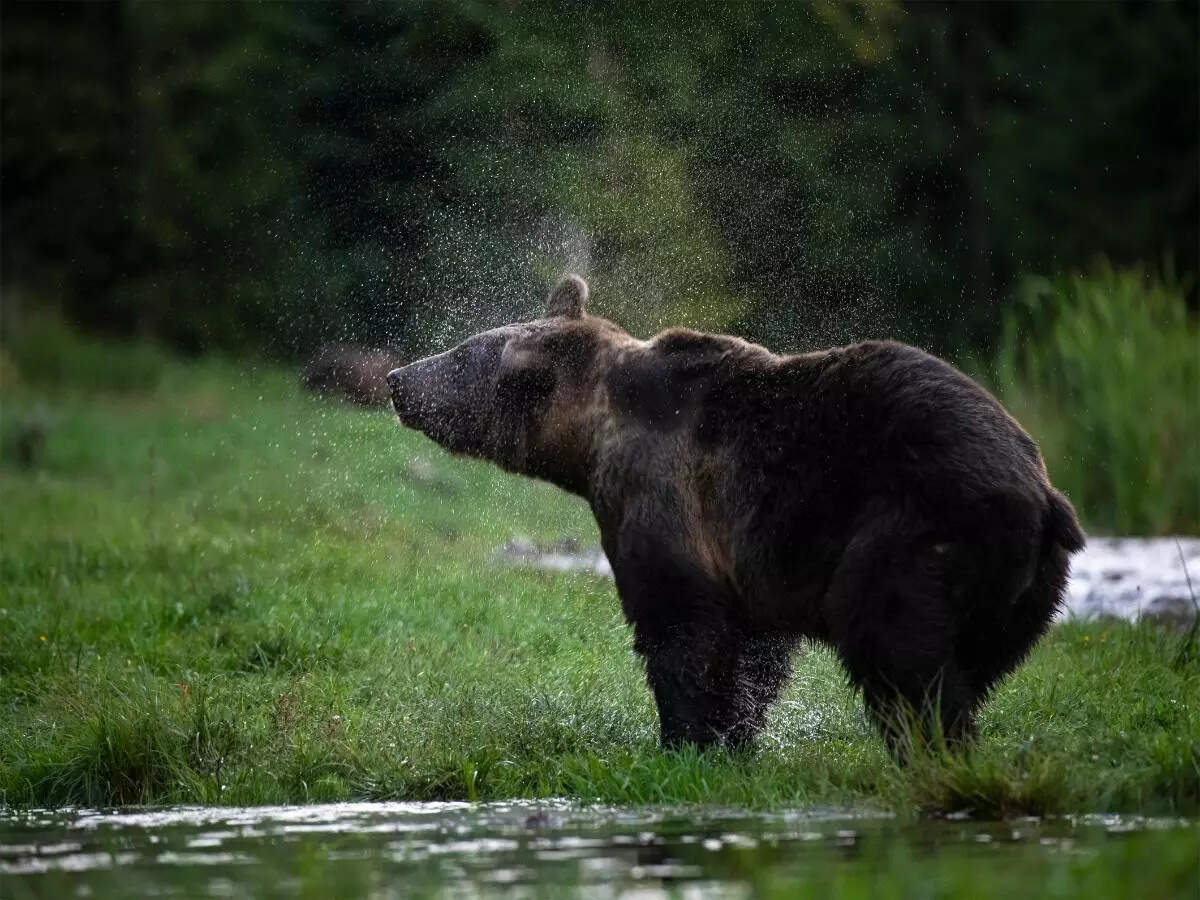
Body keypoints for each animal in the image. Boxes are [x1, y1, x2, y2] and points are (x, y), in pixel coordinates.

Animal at [387, 274, 1085, 754]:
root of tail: (1044, 494)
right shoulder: (748, 560)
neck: (590, 440)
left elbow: (679, 626)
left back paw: (923, 742)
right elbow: (756, 650)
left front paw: (685, 739)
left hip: (916, 526)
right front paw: (737, 734)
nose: (397, 378)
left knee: (893, 642)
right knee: (974, 662)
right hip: (1025, 587)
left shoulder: (661, 495)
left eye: (460, 355)